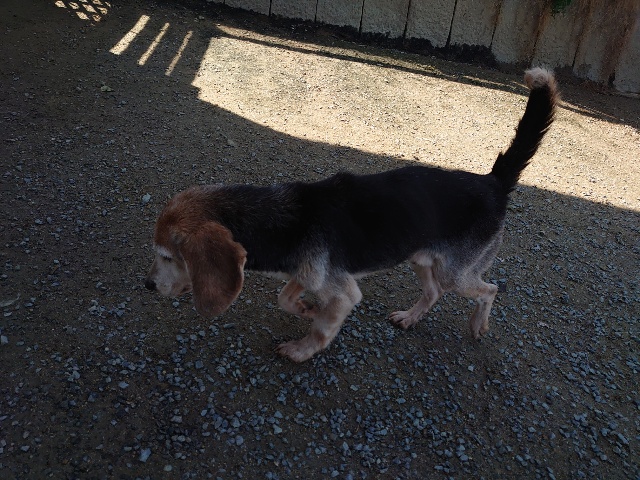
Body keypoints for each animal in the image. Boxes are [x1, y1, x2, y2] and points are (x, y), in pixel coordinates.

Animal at [145, 68, 558, 362]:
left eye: (168, 257)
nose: (148, 286)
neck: (280, 218)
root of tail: (493, 182)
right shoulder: (309, 272)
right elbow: (286, 296)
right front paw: (304, 307)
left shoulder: (344, 292)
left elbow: (321, 328)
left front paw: (301, 348)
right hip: (422, 259)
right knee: (433, 292)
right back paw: (410, 317)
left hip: (457, 272)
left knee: (489, 290)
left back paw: (478, 324)